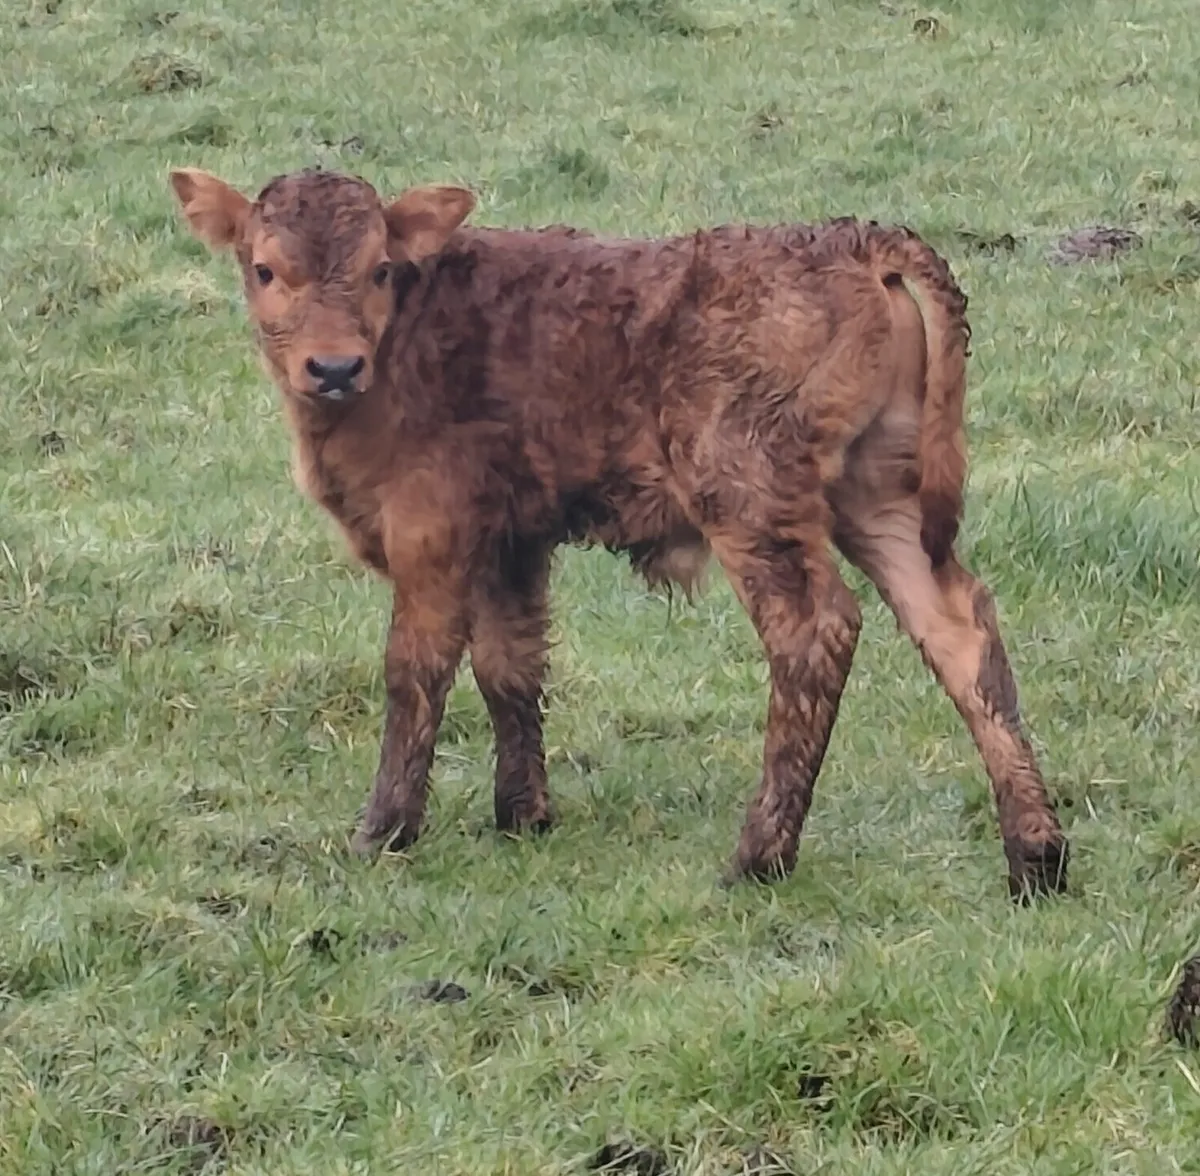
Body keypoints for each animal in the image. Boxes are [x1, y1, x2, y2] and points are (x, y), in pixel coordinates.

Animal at [168, 165, 1068, 899]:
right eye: (265, 269)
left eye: (379, 269)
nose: (332, 368)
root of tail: (850, 242)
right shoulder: (511, 543)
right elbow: (510, 667)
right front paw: (522, 815)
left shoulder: (432, 534)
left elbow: (414, 671)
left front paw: (382, 831)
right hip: (878, 495)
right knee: (956, 628)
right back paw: (1036, 857)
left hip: (751, 497)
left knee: (815, 631)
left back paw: (759, 857)